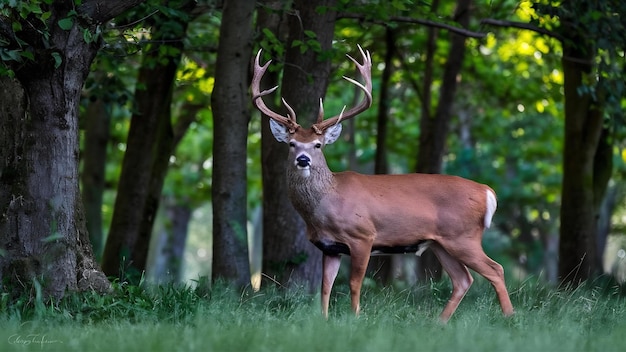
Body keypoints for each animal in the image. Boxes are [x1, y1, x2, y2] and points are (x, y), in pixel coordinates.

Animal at [249, 45, 512, 324]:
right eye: (292, 144)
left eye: (318, 145)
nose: (302, 159)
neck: (325, 205)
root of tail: (487, 191)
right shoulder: (329, 247)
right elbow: (325, 287)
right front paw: (324, 320)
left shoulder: (363, 235)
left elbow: (354, 284)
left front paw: (355, 318)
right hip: (441, 242)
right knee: (463, 279)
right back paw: (439, 322)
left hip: (464, 236)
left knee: (495, 269)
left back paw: (510, 318)